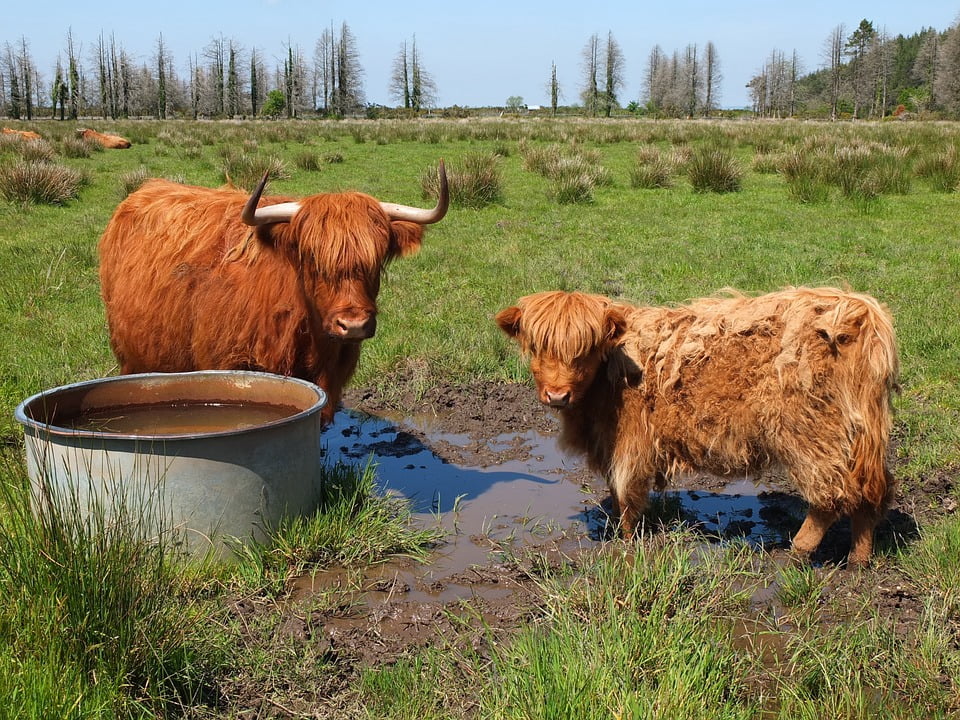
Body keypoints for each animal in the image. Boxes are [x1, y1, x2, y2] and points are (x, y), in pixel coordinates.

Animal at [496, 287, 899, 566]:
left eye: (584, 350)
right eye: (536, 348)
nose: (557, 395)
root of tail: (858, 309)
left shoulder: (629, 443)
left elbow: (626, 494)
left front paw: (627, 543)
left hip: (809, 433)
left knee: (830, 496)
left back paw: (795, 555)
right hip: (861, 436)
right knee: (870, 493)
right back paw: (859, 560)